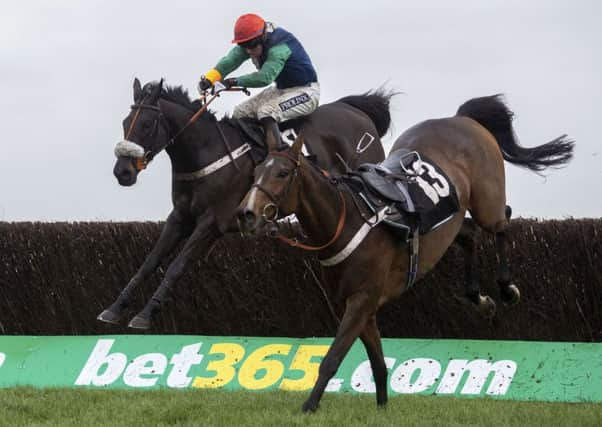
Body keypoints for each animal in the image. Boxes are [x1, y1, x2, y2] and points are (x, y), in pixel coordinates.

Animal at [234, 95, 572, 412]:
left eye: (282, 172)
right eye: (256, 171)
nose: (246, 214)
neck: (345, 220)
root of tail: (460, 118)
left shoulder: (361, 300)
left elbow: (332, 358)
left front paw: (309, 407)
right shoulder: (360, 305)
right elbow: (378, 363)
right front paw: (382, 407)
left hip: (487, 201)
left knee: (503, 221)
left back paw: (506, 288)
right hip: (451, 222)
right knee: (470, 235)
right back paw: (480, 298)